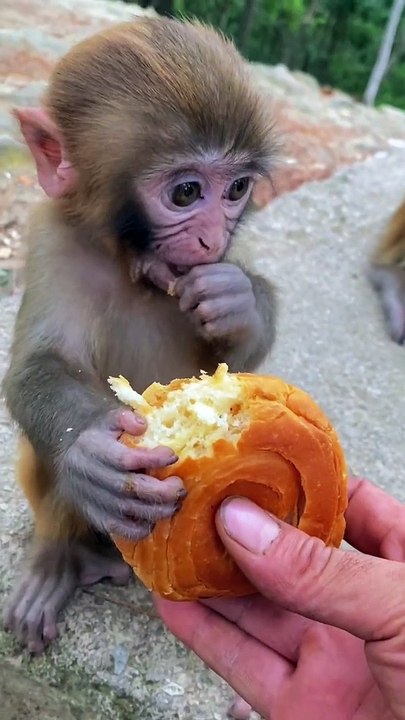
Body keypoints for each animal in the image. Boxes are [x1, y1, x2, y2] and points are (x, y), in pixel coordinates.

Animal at [2, 17, 277, 665]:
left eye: (237, 189)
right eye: (185, 194)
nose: (210, 241)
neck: (128, 264)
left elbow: (237, 363)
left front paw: (238, 300)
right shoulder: (50, 237)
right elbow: (35, 368)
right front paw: (89, 448)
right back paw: (61, 560)